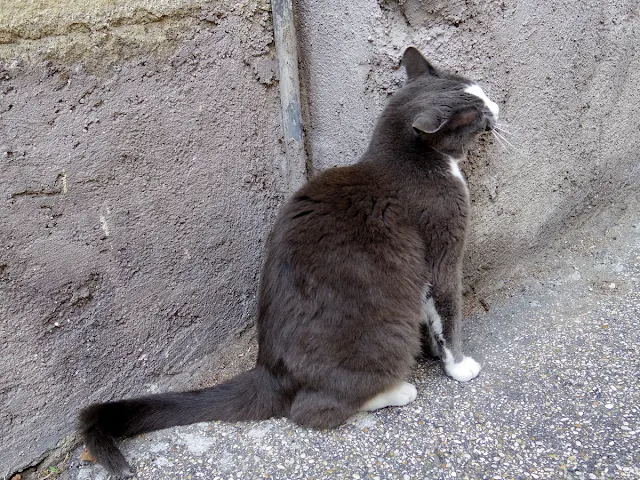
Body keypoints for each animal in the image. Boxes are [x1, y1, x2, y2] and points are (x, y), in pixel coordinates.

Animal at [80, 46, 498, 476]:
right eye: (476, 109)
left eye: (479, 90)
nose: (496, 106)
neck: (409, 160)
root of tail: (269, 372)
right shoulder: (443, 243)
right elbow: (447, 309)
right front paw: (458, 365)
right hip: (387, 336)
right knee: (312, 410)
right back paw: (397, 391)